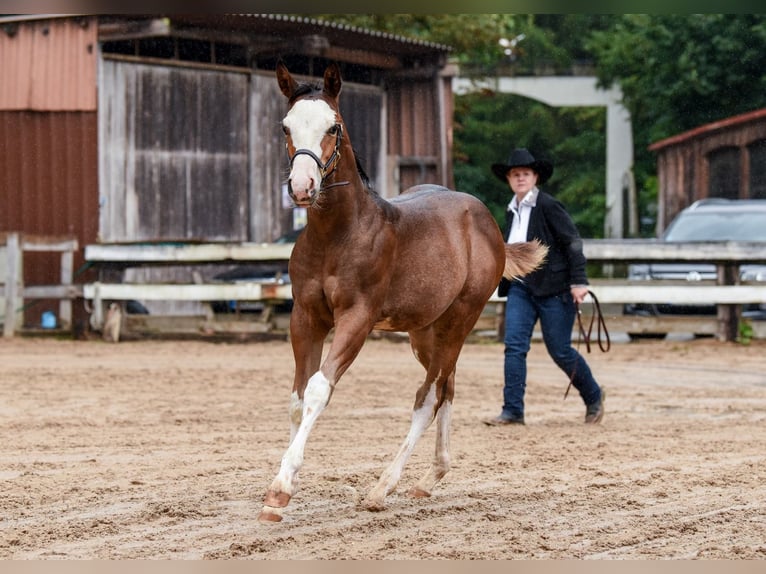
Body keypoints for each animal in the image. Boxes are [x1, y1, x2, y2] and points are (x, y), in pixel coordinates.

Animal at [258, 61, 548, 523]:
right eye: (286, 126)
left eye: (334, 126)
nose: (302, 186)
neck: (337, 235)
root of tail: (486, 223)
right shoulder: (305, 317)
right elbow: (297, 399)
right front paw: (282, 487)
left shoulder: (356, 319)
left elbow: (319, 389)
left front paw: (281, 489)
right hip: (424, 332)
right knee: (447, 387)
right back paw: (431, 477)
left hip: (459, 320)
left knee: (427, 397)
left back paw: (382, 487)